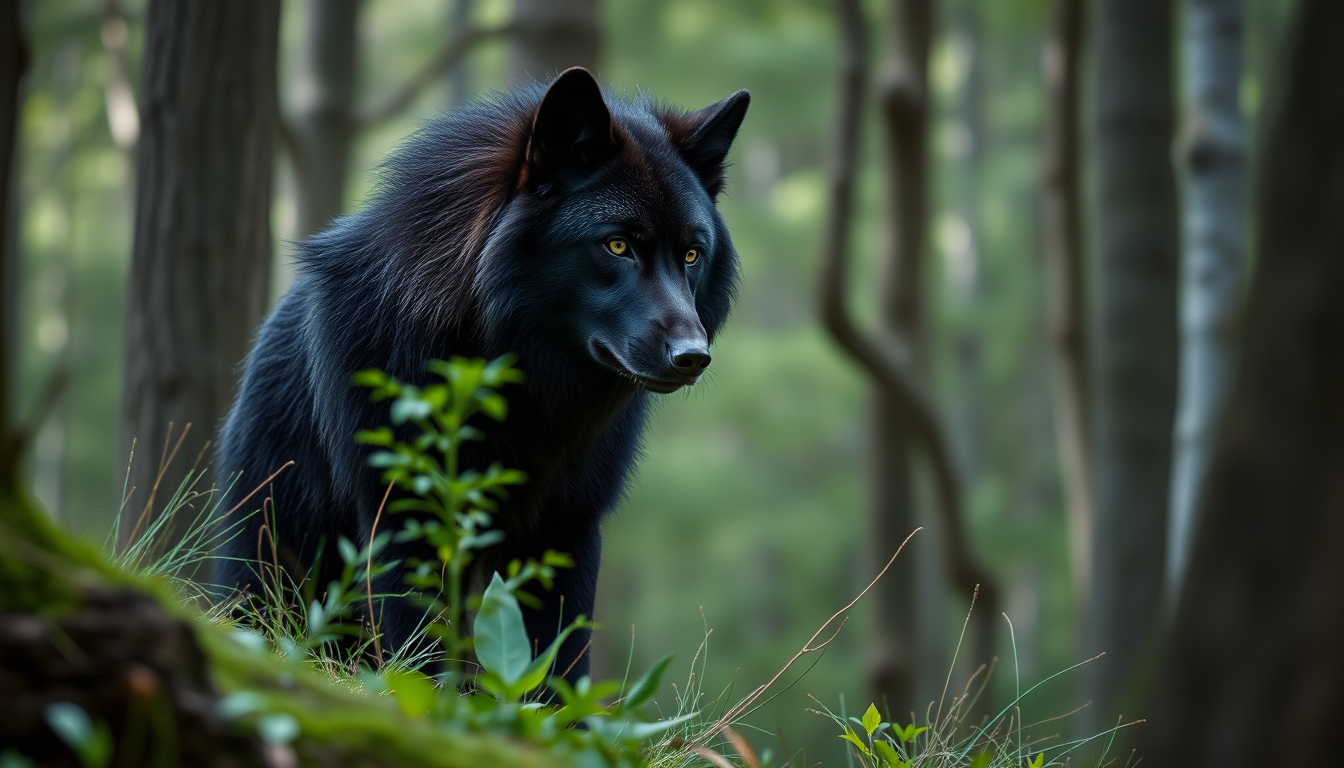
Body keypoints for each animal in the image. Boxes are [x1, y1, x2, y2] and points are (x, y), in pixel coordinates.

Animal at [213, 68, 748, 681]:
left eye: (691, 255)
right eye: (617, 245)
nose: (693, 356)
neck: (520, 388)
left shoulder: (567, 526)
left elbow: (558, 667)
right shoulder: (405, 517)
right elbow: (419, 659)